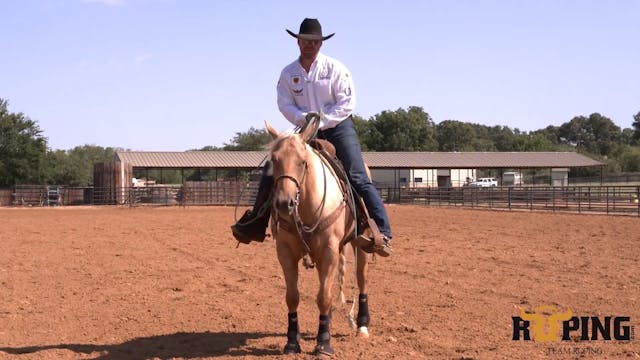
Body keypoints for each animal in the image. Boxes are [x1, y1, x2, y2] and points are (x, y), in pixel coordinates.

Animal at [264, 116, 370, 356]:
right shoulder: (285, 252)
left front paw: (323, 343)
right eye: (274, 160)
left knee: (361, 279)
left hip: (361, 244)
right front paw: (292, 342)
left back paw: (362, 325)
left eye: (303, 162)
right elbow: (292, 297)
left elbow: (323, 297)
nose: (283, 203)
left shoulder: (328, 251)